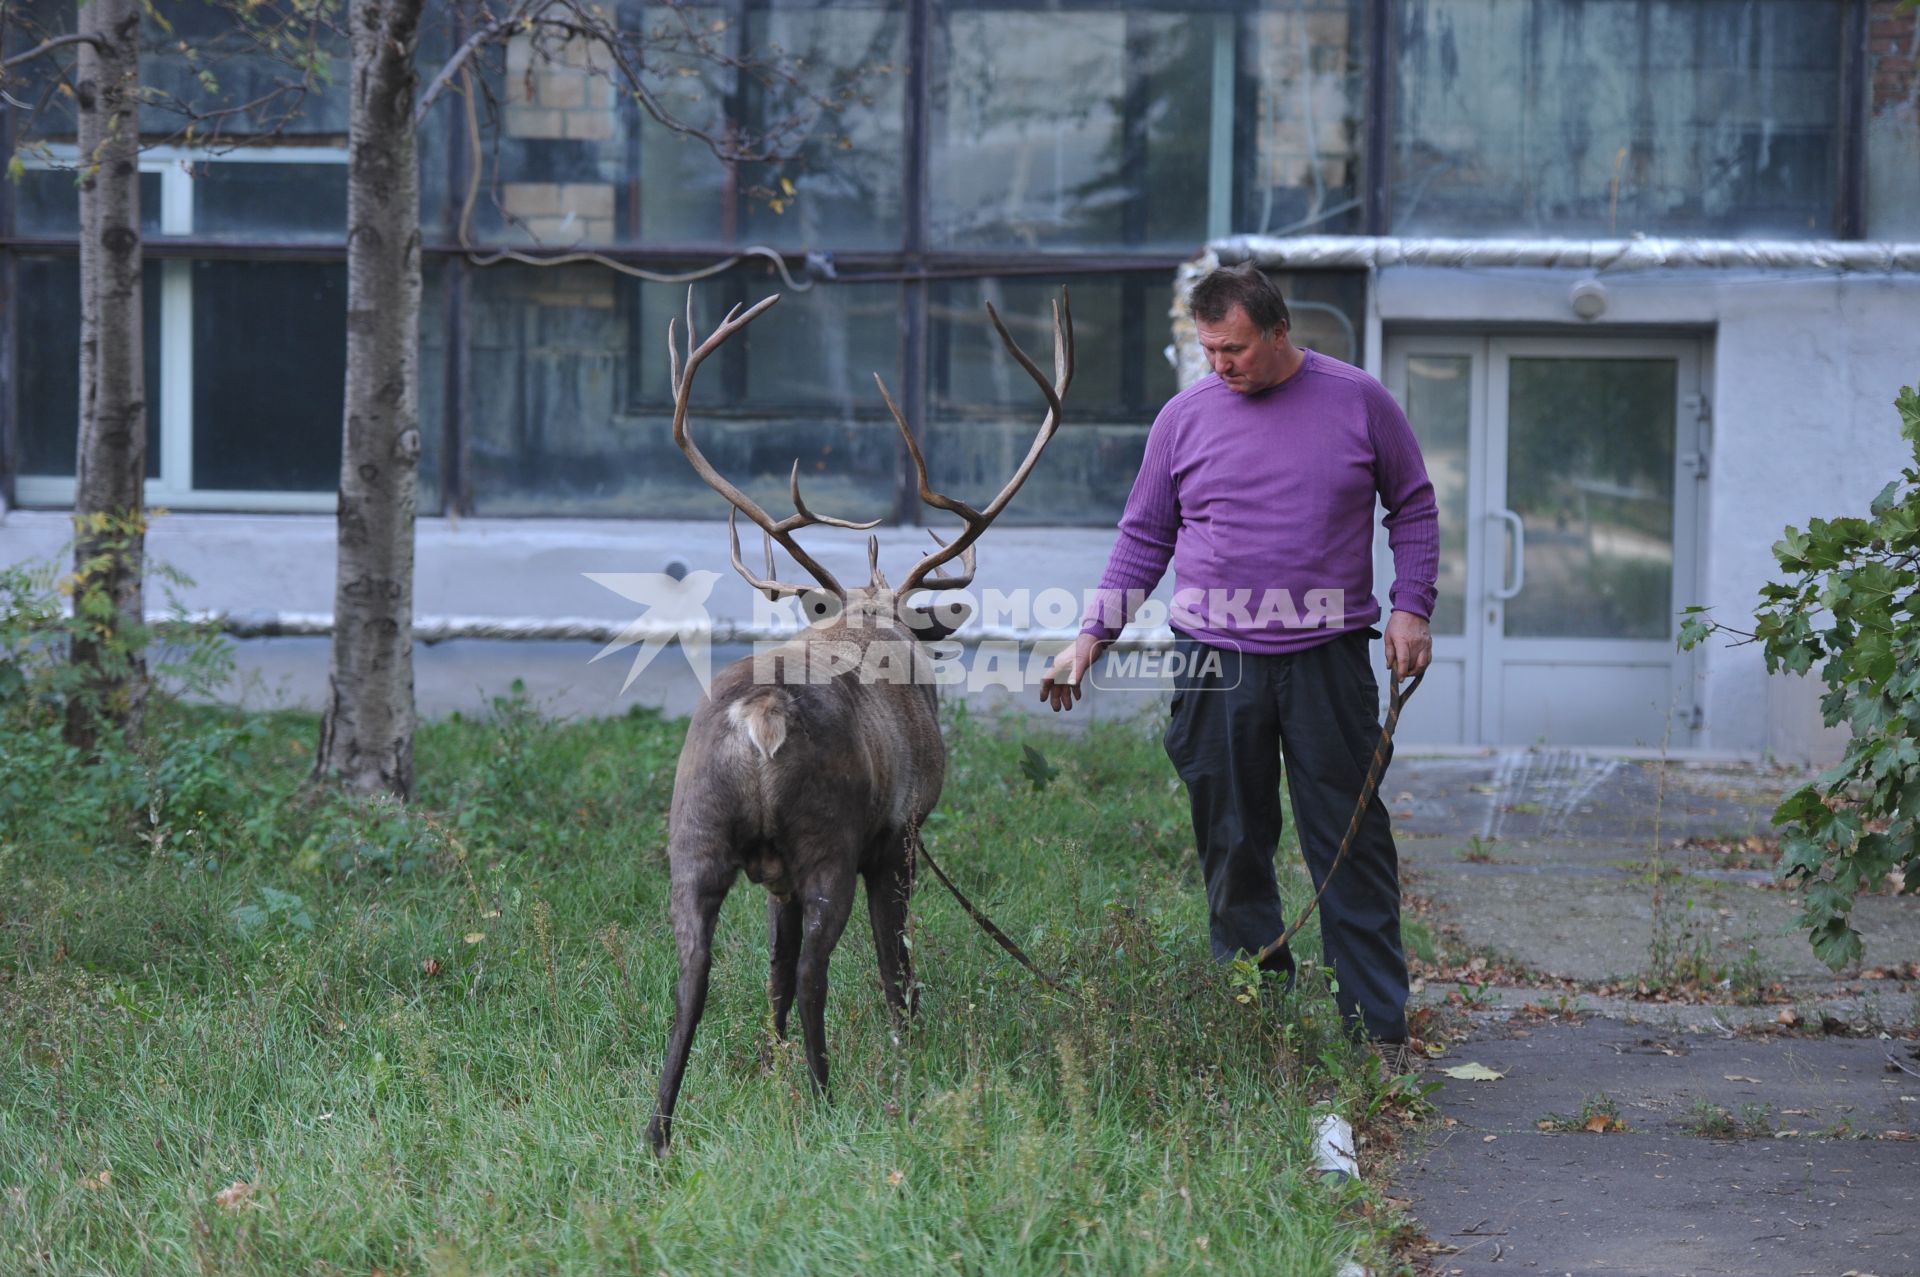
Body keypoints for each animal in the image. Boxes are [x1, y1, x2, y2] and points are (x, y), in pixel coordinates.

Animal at [641, 288, 1067, 1152]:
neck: (873, 619)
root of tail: (762, 716)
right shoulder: (899, 836)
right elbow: (894, 967)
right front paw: (908, 1050)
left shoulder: (772, 875)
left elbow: (770, 974)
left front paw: (769, 1065)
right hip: (827, 839)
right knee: (816, 971)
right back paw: (825, 1097)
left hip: (693, 832)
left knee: (695, 973)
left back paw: (661, 1131)